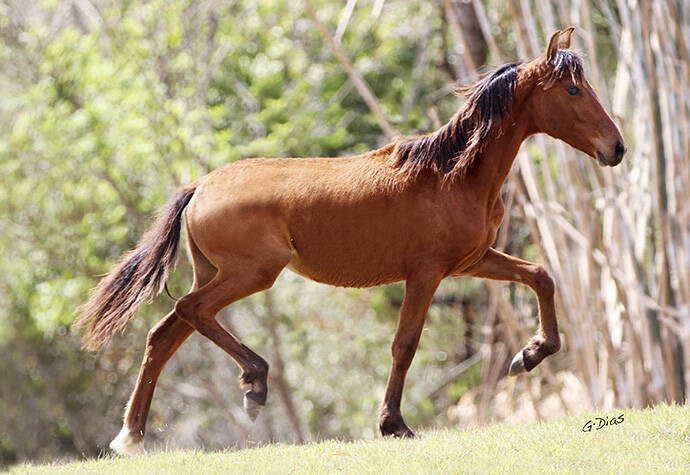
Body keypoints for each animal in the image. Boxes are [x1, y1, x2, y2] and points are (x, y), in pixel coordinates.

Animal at [74, 27, 624, 456]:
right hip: (252, 273)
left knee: (164, 333)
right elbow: (405, 344)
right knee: (189, 312)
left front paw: (529, 354)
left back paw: (133, 435)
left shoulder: (472, 261)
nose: (616, 148)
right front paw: (394, 424)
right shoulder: (426, 273)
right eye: (573, 90)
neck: (452, 175)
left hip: (219, 273)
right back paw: (255, 382)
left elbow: (541, 276)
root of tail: (200, 187)